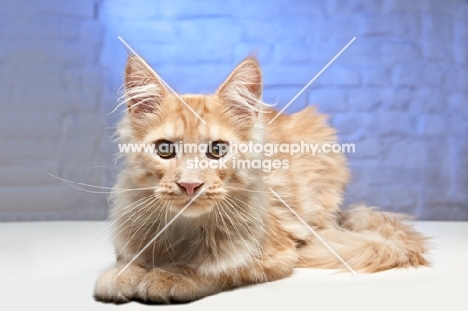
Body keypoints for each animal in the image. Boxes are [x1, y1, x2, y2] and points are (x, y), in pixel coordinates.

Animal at [94, 54, 428, 304]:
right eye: (165, 150)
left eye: (217, 150)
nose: (190, 184)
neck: (183, 229)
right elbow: (127, 258)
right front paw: (123, 273)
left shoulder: (276, 252)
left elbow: (219, 267)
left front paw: (172, 275)